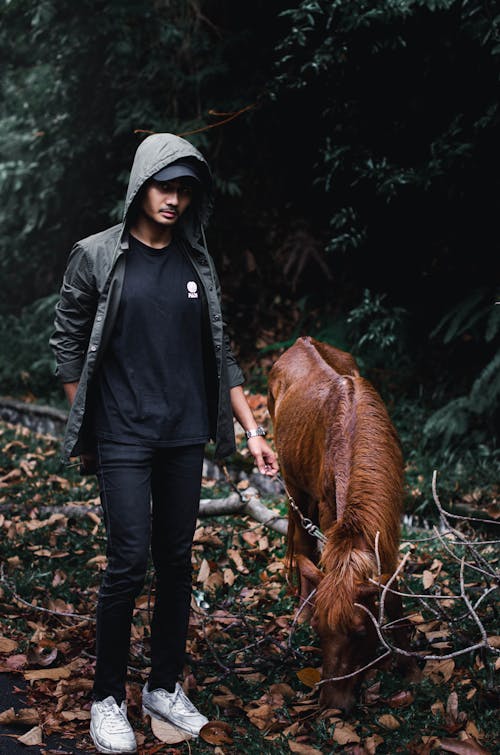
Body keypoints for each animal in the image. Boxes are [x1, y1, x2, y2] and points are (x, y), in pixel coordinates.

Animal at [268, 338, 404, 716]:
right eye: (319, 631)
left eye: (359, 633)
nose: (331, 706)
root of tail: (301, 341)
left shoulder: (388, 528)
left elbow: (390, 586)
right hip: (294, 485)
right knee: (302, 542)